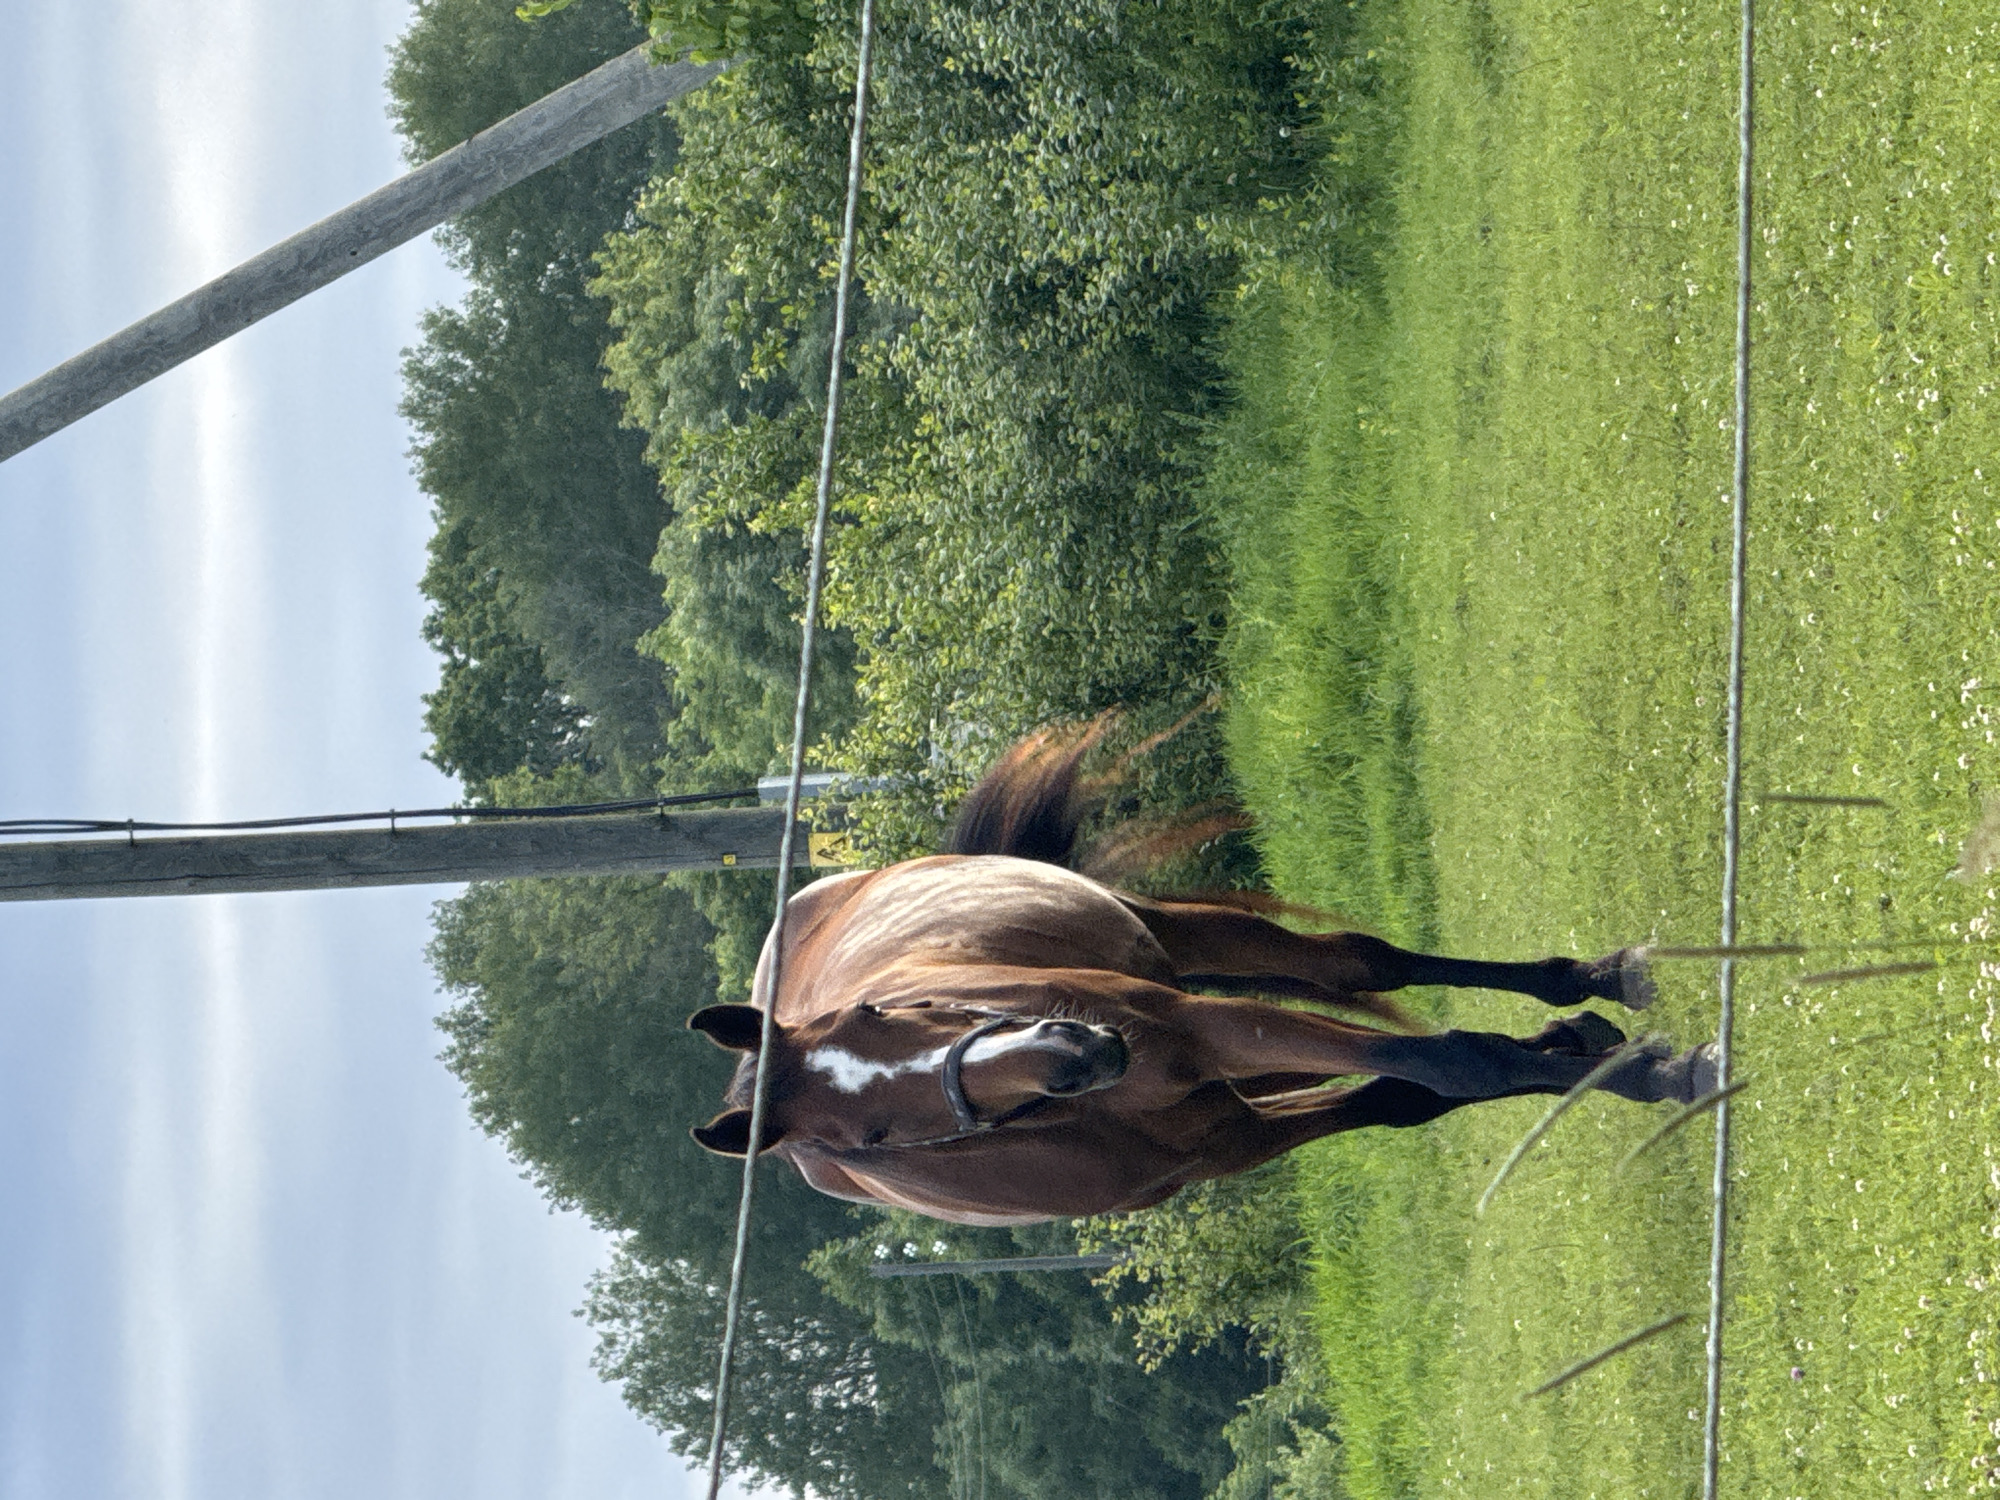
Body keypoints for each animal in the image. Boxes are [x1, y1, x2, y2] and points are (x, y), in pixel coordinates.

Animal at [688, 724, 1717, 1225]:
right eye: (874, 1138)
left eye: (884, 1009)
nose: (1071, 1051)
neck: (1076, 1116)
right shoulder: (1229, 1134)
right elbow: (1418, 1087)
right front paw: (1616, 1065)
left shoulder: (1202, 1026)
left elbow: (1449, 1062)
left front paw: (1654, 1067)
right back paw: (1571, 1028)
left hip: (1175, 935)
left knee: (1360, 962)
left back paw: (1597, 980)